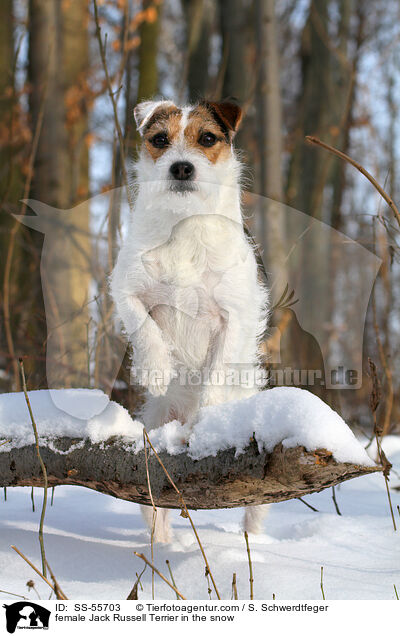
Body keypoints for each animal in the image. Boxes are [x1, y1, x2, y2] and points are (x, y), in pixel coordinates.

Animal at [111, 99, 270, 540]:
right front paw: (157, 369)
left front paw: (207, 416)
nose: (181, 167)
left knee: (256, 508)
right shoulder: (125, 287)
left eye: (208, 138)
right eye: (160, 140)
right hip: (152, 443)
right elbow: (142, 324)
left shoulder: (235, 314)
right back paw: (163, 548)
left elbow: (216, 370)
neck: (184, 224)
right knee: (156, 512)